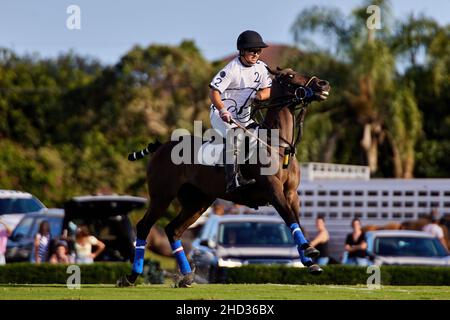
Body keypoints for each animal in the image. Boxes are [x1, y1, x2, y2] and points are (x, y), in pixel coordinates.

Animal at [117, 67, 330, 288]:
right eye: (289, 76)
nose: (323, 84)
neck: (278, 145)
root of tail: (161, 146)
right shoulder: (273, 190)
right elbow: (289, 217)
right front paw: (309, 250)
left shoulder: (291, 193)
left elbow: (295, 219)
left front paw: (310, 261)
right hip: (162, 196)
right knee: (144, 226)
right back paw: (131, 277)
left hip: (198, 202)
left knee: (173, 230)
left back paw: (187, 276)